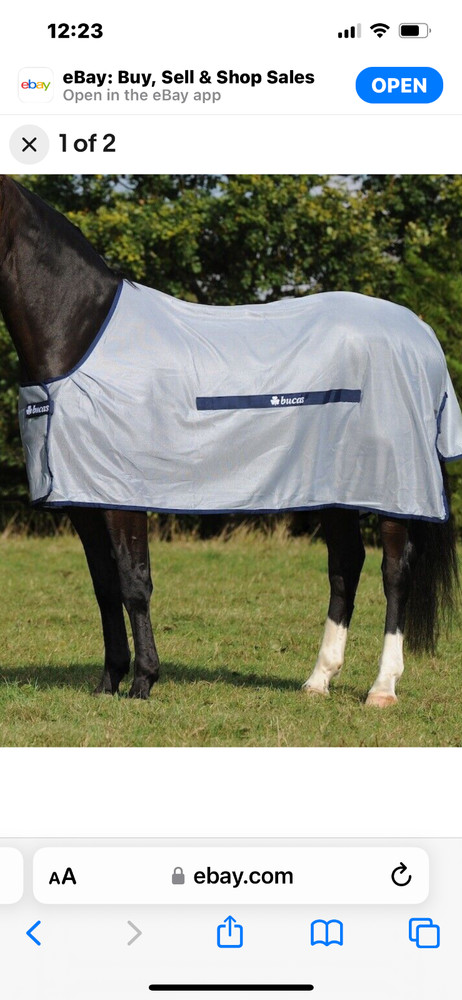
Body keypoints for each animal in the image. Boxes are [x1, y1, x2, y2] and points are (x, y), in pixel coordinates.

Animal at [1, 175, 460, 705]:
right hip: (335, 487)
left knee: (395, 572)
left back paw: (382, 688)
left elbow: (133, 583)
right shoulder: (85, 500)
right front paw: (108, 681)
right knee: (346, 565)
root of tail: (420, 332)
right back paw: (318, 680)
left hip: (392, 488)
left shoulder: (123, 496)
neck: (79, 334)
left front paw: (143, 682)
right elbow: (103, 587)